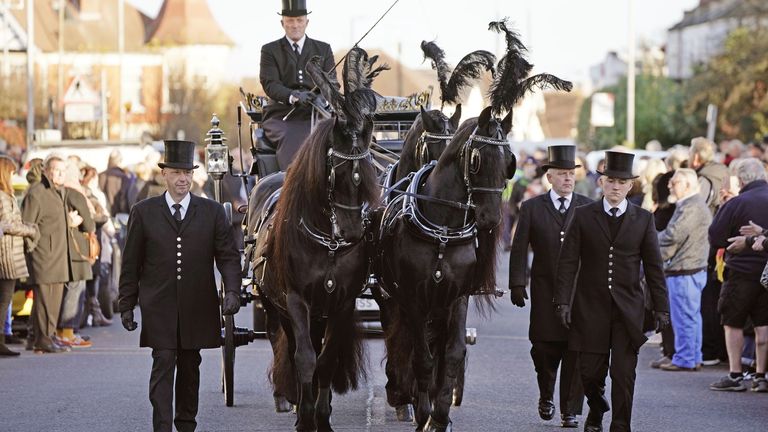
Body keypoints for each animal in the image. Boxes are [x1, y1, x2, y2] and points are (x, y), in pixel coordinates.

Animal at [249, 45, 388, 430]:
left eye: (366, 168)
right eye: (335, 170)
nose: (354, 231)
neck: (328, 245)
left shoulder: (341, 303)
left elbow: (326, 360)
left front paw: (322, 417)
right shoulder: (296, 300)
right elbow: (305, 358)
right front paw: (306, 415)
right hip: (275, 304)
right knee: (290, 345)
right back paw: (297, 401)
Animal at [376, 105, 516, 432]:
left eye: (509, 161)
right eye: (476, 159)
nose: (490, 218)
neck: (441, 229)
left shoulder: (457, 297)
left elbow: (451, 354)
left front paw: (440, 416)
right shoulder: (413, 298)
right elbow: (421, 357)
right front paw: (423, 413)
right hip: (391, 297)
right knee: (400, 339)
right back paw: (402, 394)